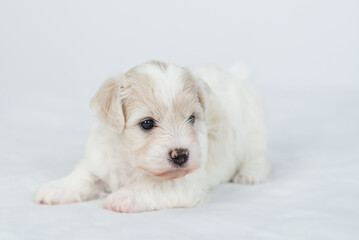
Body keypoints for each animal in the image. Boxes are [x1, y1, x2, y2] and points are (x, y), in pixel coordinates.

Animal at [34, 61, 270, 213]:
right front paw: (56, 188)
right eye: (147, 123)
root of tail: (234, 76)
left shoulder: (185, 185)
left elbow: (154, 186)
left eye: (191, 118)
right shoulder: (100, 162)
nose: (181, 155)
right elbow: (83, 176)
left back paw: (250, 174)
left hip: (253, 128)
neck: (132, 163)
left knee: (257, 155)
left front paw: (124, 196)